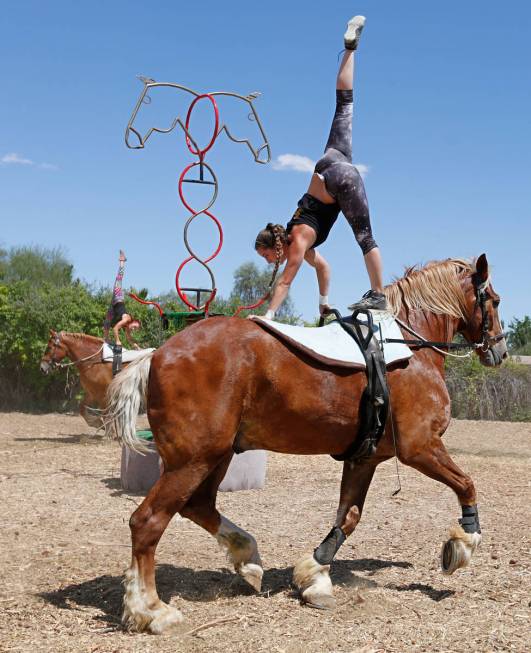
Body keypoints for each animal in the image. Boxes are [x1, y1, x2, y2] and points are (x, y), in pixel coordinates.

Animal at [107, 255, 508, 632]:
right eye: (495, 300)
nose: (500, 351)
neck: (409, 347)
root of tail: (158, 353)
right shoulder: (420, 447)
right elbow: (467, 485)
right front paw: (462, 544)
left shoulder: (364, 459)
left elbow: (348, 518)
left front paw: (315, 576)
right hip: (193, 460)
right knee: (148, 521)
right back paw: (150, 610)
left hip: (215, 455)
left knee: (199, 506)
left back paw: (247, 558)